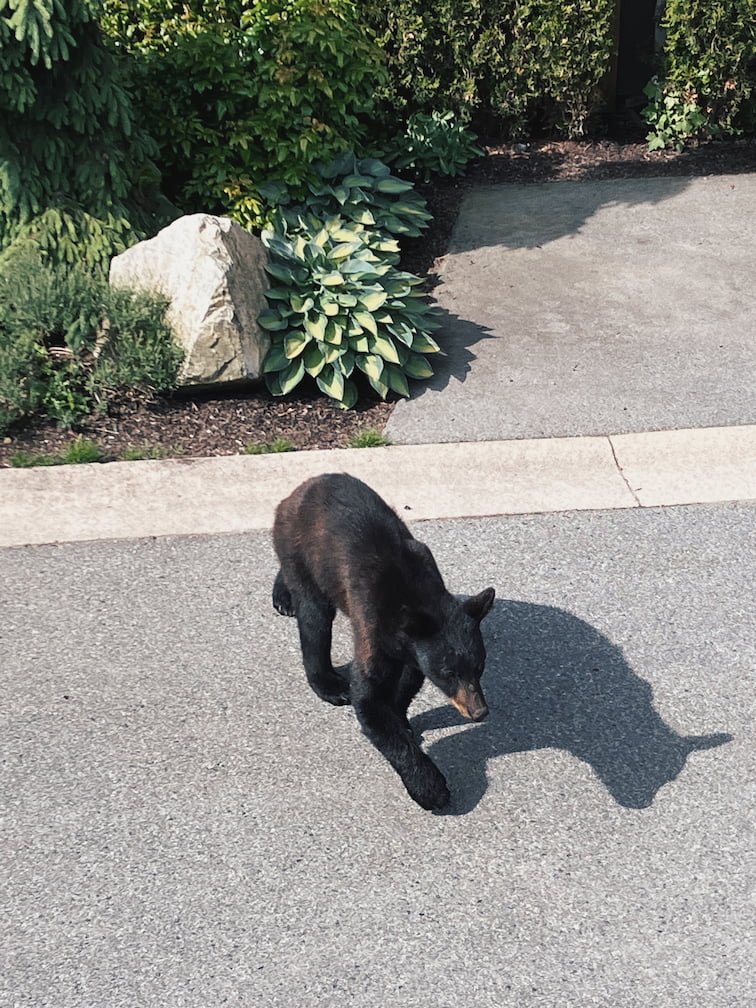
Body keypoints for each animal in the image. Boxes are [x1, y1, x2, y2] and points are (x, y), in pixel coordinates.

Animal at [272, 472, 495, 811]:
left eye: (479, 666)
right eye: (448, 673)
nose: (479, 712)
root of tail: (302, 487)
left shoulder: (413, 647)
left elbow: (408, 680)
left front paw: (401, 717)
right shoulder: (371, 621)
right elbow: (369, 698)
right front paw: (431, 787)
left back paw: (283, 595)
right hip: (303, 549)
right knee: (314, 617)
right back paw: (328, 682)